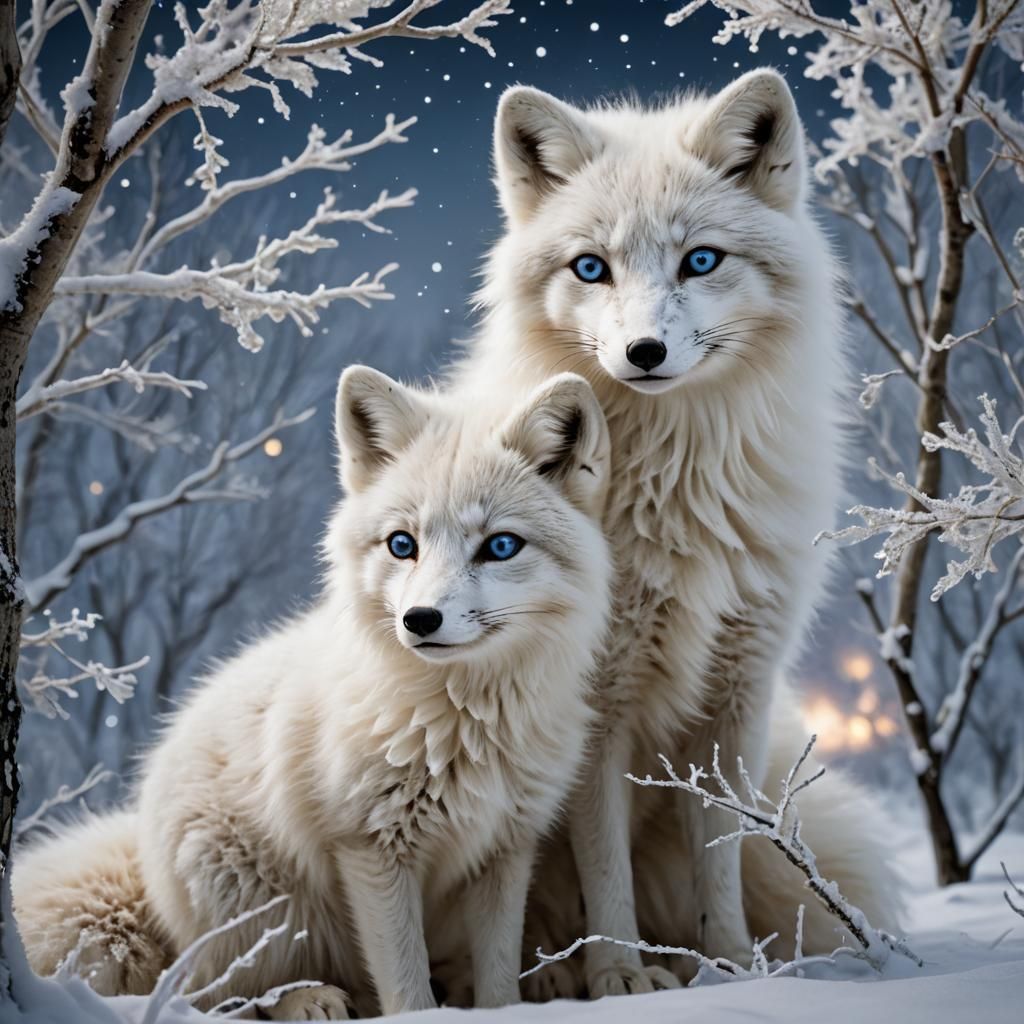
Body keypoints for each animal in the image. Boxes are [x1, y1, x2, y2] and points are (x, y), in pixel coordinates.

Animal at [13, 367, 613, 1019]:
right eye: (402, 544)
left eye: (500, 546)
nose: (420, 620)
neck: (465, 724)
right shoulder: (371, 848)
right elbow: (407, 990)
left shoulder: (504, 848)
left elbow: (499, 985)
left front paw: (500, 1006)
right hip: (257, 896)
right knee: (222, 992)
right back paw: (307, 997)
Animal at [455, 69, 903, 996]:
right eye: (591, 267)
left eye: (700, 259)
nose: (644, 351)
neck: (679, 488)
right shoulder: (598, 707)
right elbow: (603, 864)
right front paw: (620, 980)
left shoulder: (740, 688)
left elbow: (723, 847)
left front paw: (732, 970)